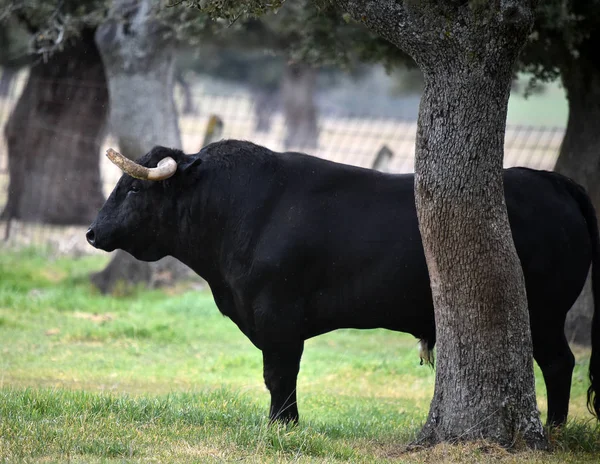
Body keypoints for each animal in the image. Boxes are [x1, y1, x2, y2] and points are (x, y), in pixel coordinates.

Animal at [85, 140, 600, 426]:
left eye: (134, 188)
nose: (92, 232)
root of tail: (550, 180)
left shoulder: (278, 316)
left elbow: (279, 374)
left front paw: (282, 425)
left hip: (546, 313)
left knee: (559, 364)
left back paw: (555, 430)